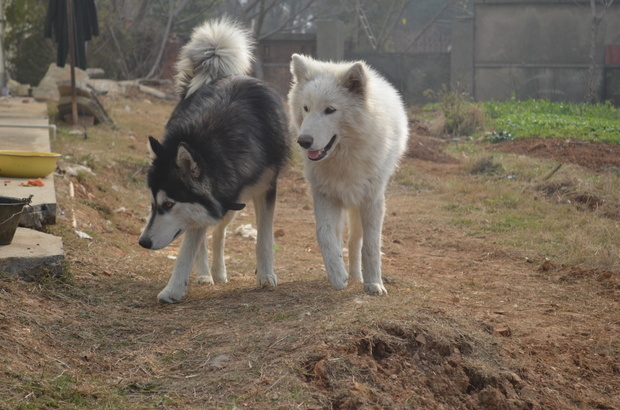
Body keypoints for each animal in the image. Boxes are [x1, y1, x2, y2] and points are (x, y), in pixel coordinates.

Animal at [288, 53, 410, 294]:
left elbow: (371, 246)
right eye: (306, 108)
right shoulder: (325, 196)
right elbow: (325, 235)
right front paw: (337, 275)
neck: (343, 158)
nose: (303, 141)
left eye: (330, 110)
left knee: (355, 242)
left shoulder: (372, 201)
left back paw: (357, 276)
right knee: (340, 237)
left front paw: (374, 283)